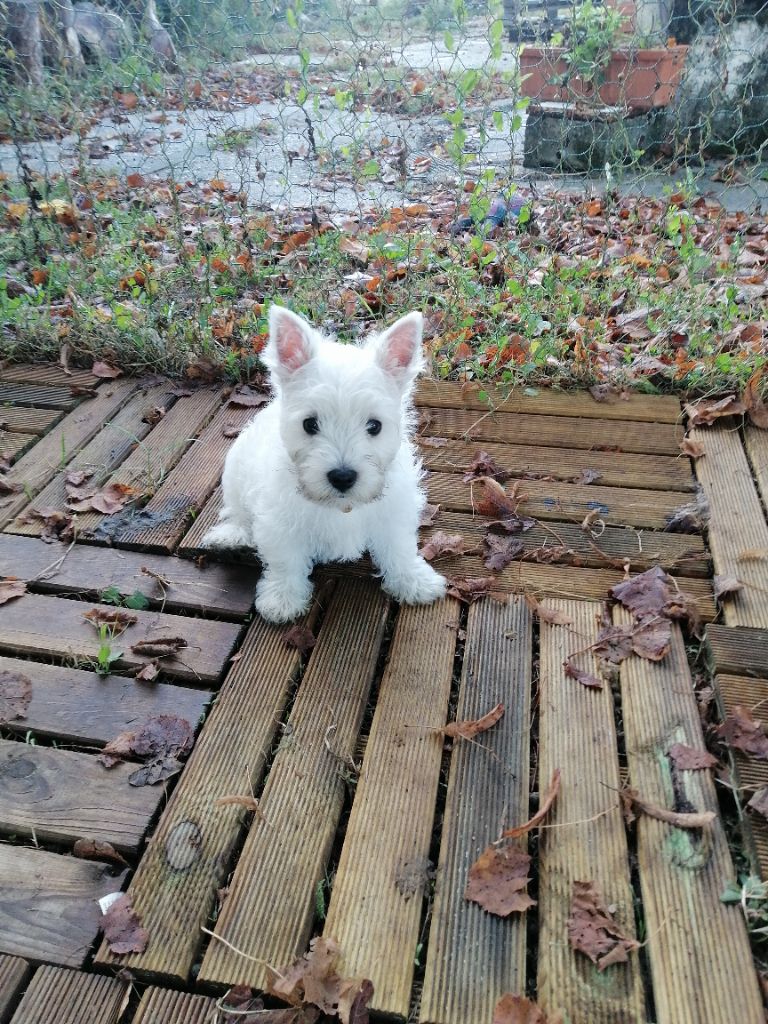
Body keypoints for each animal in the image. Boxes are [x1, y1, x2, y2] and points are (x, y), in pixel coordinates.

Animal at [201, 301, 448, 622]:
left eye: (374, 426)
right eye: (310, 424)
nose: (342, 477)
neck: (341, 507)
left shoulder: (394, 512)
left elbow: (400, 549)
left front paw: (414, 581)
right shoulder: (279, 522)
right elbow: (286, 561)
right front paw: (282, 599)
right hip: (235, 470)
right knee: (238, 512)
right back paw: (232, 538)